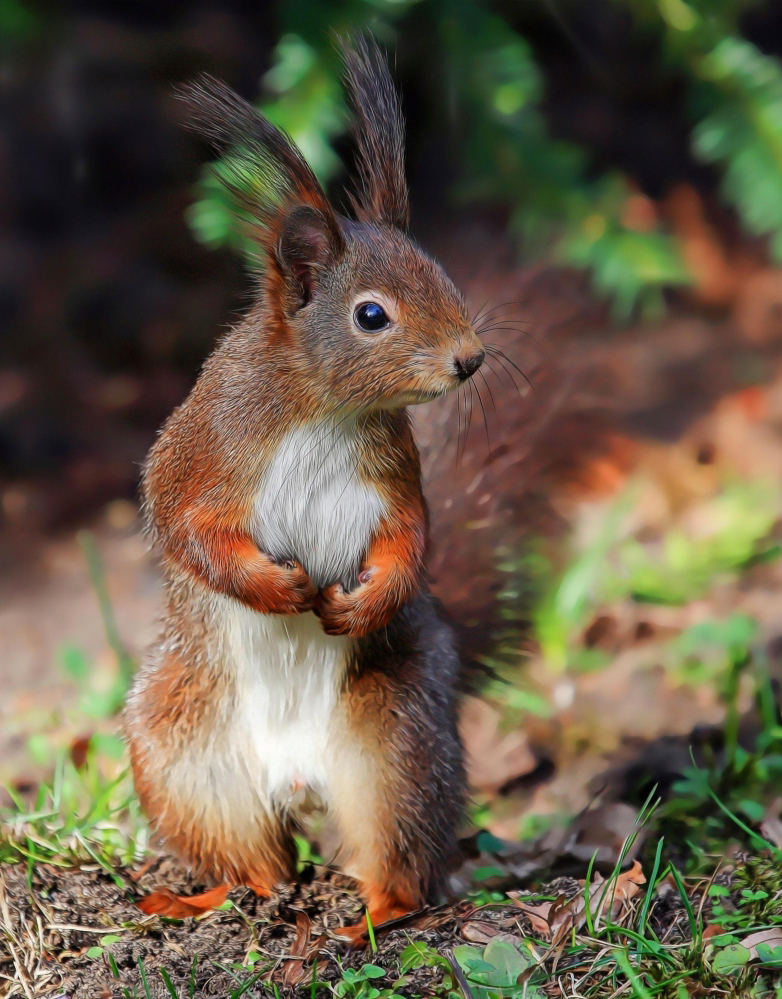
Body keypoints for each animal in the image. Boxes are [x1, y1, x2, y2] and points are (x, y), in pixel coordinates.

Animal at [124, 39, 484, 940]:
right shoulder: (204, 449)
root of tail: (297, 779)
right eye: (371, 315)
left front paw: (364, 599)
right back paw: (203, 896)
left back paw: (373, 914)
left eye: (441, 273)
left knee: (393, 853)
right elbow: (182, 525)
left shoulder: (392, 474)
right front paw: (273, 586)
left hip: (396, 743)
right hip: (184, 757)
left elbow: (409, 537)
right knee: (258, 865)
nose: (470, 359)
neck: (324, 409)